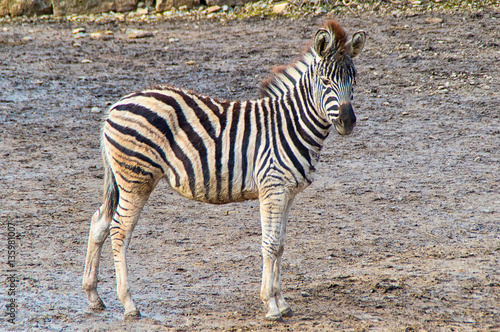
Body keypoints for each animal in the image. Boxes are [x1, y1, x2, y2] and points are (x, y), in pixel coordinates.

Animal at [81, 20, 364, 322]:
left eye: (354, 81)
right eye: (325, 82)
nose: (347, 121)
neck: (291, 124)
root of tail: (117, 105)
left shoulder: (288, 192)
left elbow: (281, 245)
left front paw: (282, 302)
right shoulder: (272, 188)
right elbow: (270, 244)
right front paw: (271, 305)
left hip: (123, 179)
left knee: (100, 221)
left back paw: (93, 295)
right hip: (136, 178)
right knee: (119, 230)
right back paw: (129, 304)